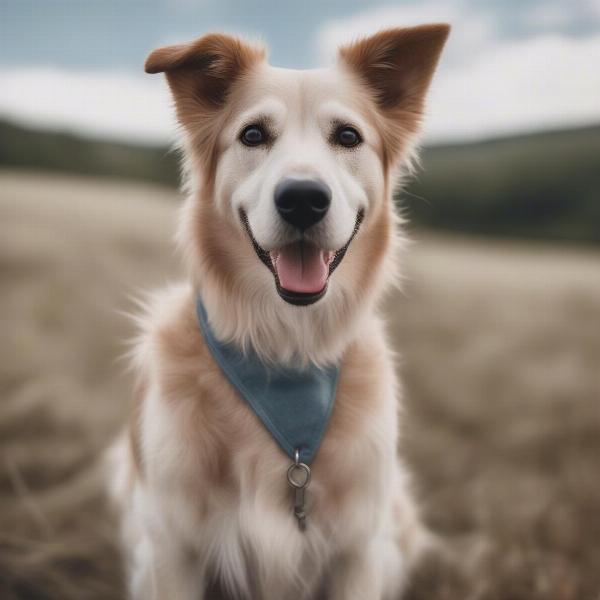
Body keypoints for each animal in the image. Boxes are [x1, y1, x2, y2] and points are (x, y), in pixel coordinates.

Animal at [105, 24, 448, 600]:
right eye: (252, 135)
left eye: (348, 137)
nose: (303, 199)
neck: (286, 349)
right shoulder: (172, 547)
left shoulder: (359, 550)